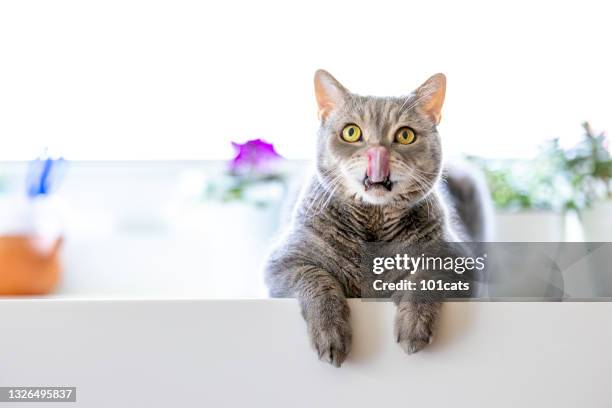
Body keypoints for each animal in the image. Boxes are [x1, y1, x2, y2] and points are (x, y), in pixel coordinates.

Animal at [264, 70, 492, 366]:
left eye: (405, 135)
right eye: (351, 132)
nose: (378, 154)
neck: (373, 224)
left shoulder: (462, 263)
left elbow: (427, 275)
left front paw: (413, 323)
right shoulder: (283, 263)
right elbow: (316, 279)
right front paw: (330, 333)